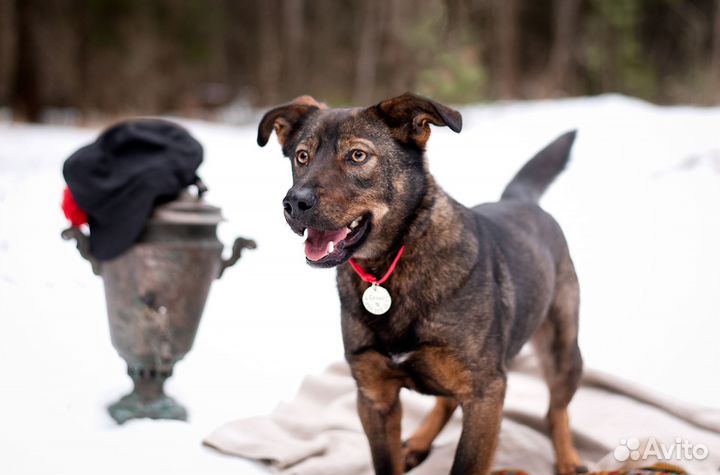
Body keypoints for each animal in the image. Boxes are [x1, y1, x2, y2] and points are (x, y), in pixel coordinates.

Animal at [258, 94, 584, 475]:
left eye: (358, 155)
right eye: (302, 156)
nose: (294, 203)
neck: (391, 265)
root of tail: (520, 200)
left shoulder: (485, 394)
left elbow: (466, 463)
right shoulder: (375, 397)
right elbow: (387, 462)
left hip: (563, 350)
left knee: (556, 410)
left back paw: (569, 459)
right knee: (447, 402)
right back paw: (418, 442)